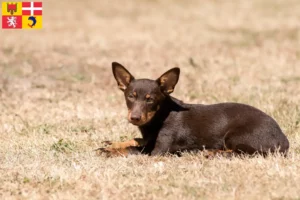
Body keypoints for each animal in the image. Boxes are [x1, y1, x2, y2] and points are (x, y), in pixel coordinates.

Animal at [98, 61, 288, 157]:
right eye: (130, 96)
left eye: (150, 99)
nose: (135, 118)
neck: (159, 117)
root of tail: (284, 140)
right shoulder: (148, 139)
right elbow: (135, 140)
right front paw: (112, 143)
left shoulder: (159, 150)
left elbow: (134, 149)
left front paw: (109, 151)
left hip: (235, 136)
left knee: (242, 153)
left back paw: (210, 153)